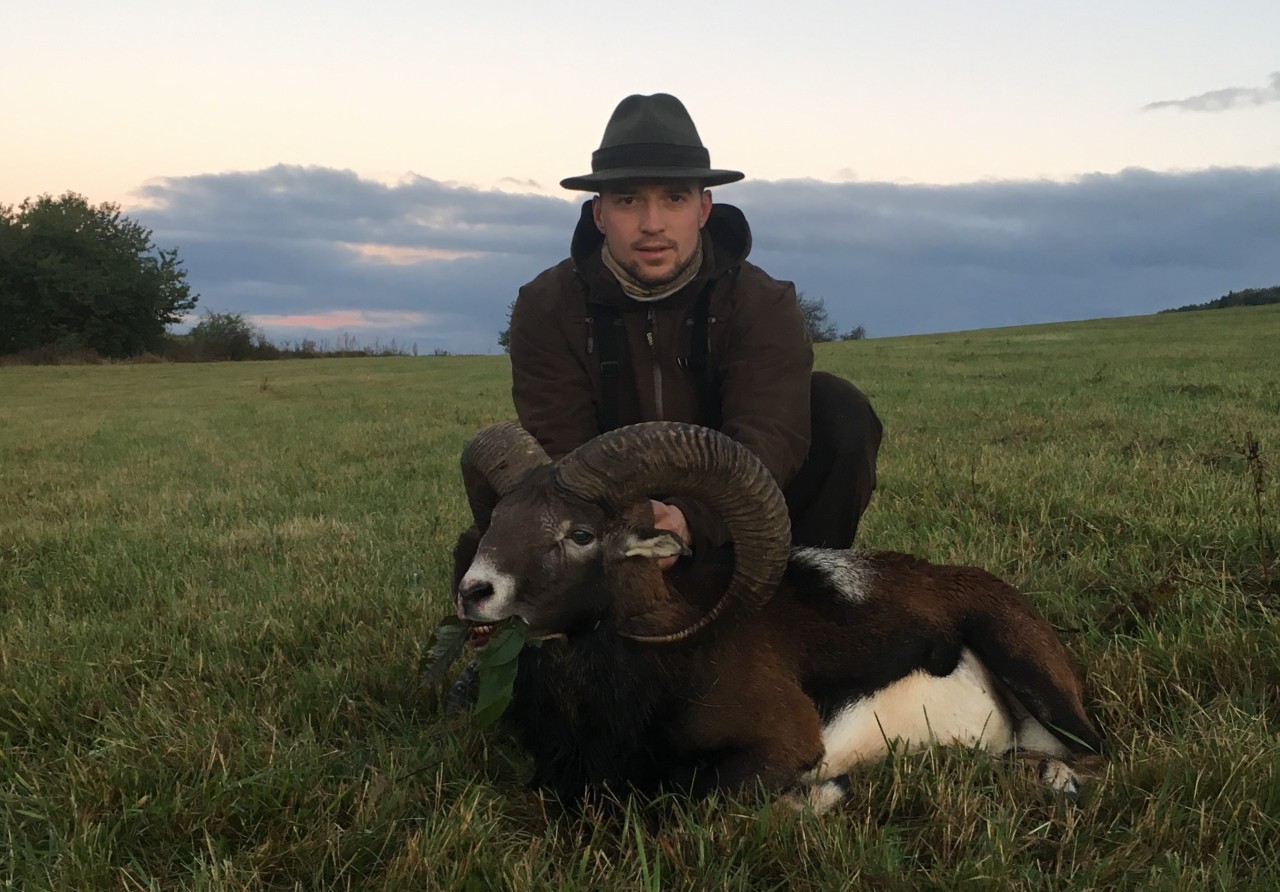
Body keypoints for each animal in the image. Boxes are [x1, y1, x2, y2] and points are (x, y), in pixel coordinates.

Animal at [453, 420, 1103, 812]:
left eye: (580, 534)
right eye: (498, 519)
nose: (473, 592)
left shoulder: (780, 747)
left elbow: (688, 798)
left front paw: (824, 795)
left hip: (1029, 671)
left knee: (1092, 759)